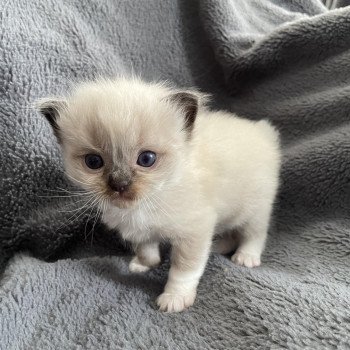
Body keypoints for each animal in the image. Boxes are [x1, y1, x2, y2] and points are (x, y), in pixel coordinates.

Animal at [36, 78, 282, 314]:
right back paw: (217, 246)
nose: (120, 184)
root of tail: (262, 131)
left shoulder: (195, 231)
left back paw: (246, 257)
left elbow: (184, 270)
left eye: (147, 159)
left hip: (256, 209)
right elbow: (146, 249)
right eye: (93, 162)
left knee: (255, 233)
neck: (150, 200)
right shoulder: (139, 230)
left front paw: (174, 299)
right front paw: (143, 264)